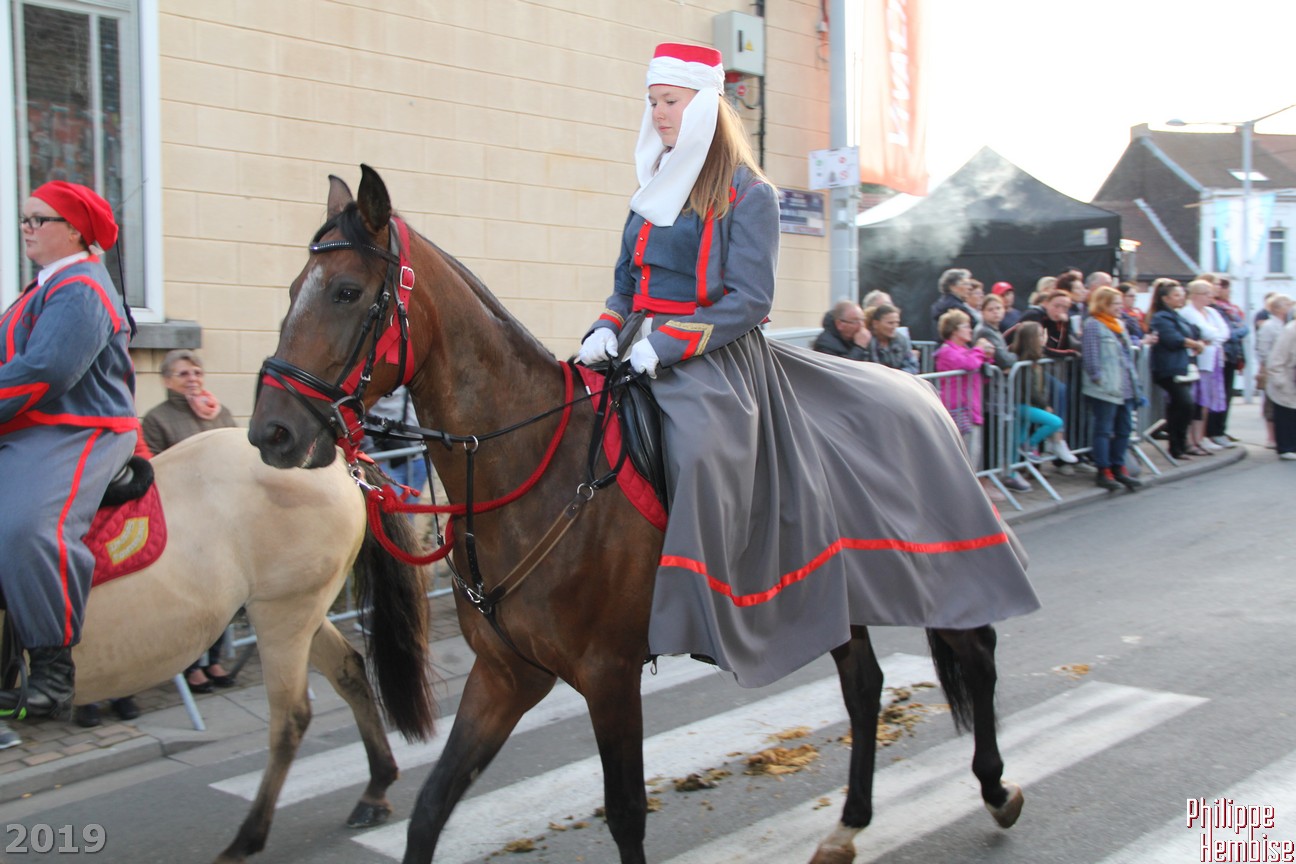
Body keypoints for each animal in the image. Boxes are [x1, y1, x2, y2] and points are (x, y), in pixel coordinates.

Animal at [1, 427, 436, 864]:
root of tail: (341, 460)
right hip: (301, 611)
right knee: (348, 671)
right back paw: (375, 789)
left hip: (285, 612)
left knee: (291, 719)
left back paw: (245, 841)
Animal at [248, 165, 1024, 864]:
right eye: (289, 291)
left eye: (348, 291)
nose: (271, 432)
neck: (534, 468)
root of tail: (921, 393)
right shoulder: (506, 675)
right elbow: (432, 809)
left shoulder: (608, 674)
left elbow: (624, 813)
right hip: (836, 597)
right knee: (864, 686)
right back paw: (848, 825)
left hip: (935, 571)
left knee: (979, 654)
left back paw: (995, 789)